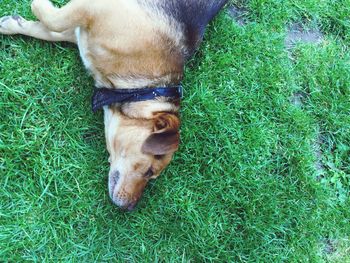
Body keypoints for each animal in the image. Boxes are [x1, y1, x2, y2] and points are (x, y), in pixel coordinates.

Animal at [0, 0, 228, 210]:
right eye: (149, 171)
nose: (130, 208)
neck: (139, 89)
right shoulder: (93, 9)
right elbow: (54, 21)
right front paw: (36, 8)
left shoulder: (81, 27)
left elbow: (50, 29)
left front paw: (14, 24)